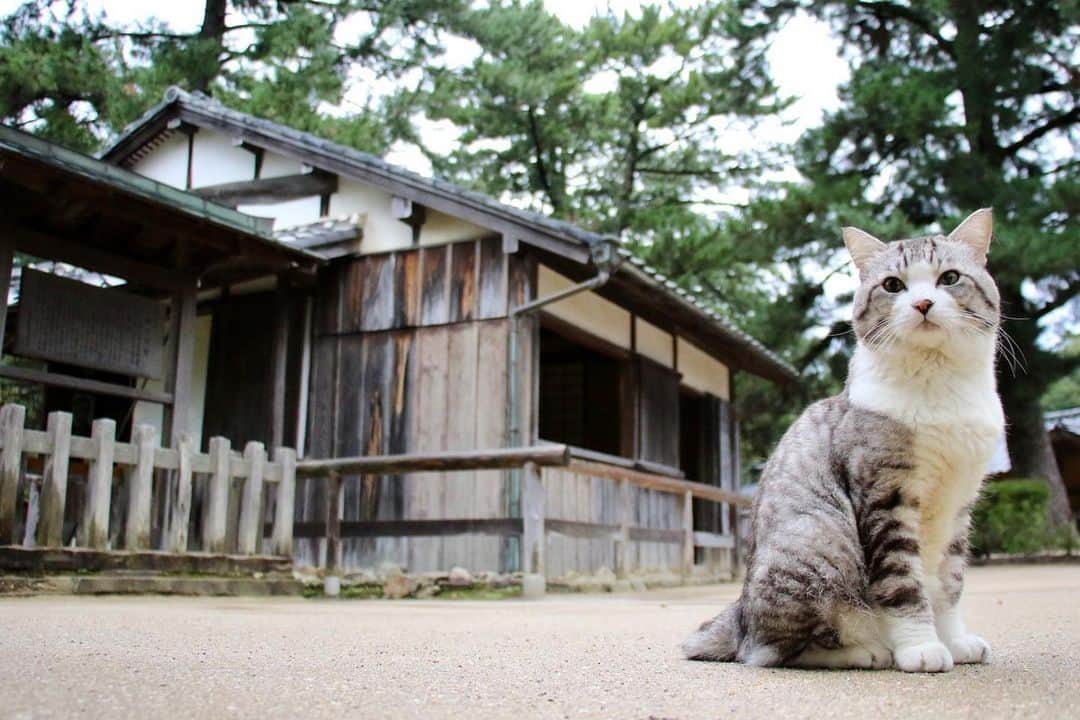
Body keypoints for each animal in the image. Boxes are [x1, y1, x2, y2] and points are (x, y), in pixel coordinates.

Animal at [682, 208, 1002, 669]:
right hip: (821, 539)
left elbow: (949, 583)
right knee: (772, 651)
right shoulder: (886, 495)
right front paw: (921, 648)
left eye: (950, 278)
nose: (923, 303)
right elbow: (903, 582)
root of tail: (738, 615)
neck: (940, 387)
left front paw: (955, 641)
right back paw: (868, 652)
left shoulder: (958, 504)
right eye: (893, 285)